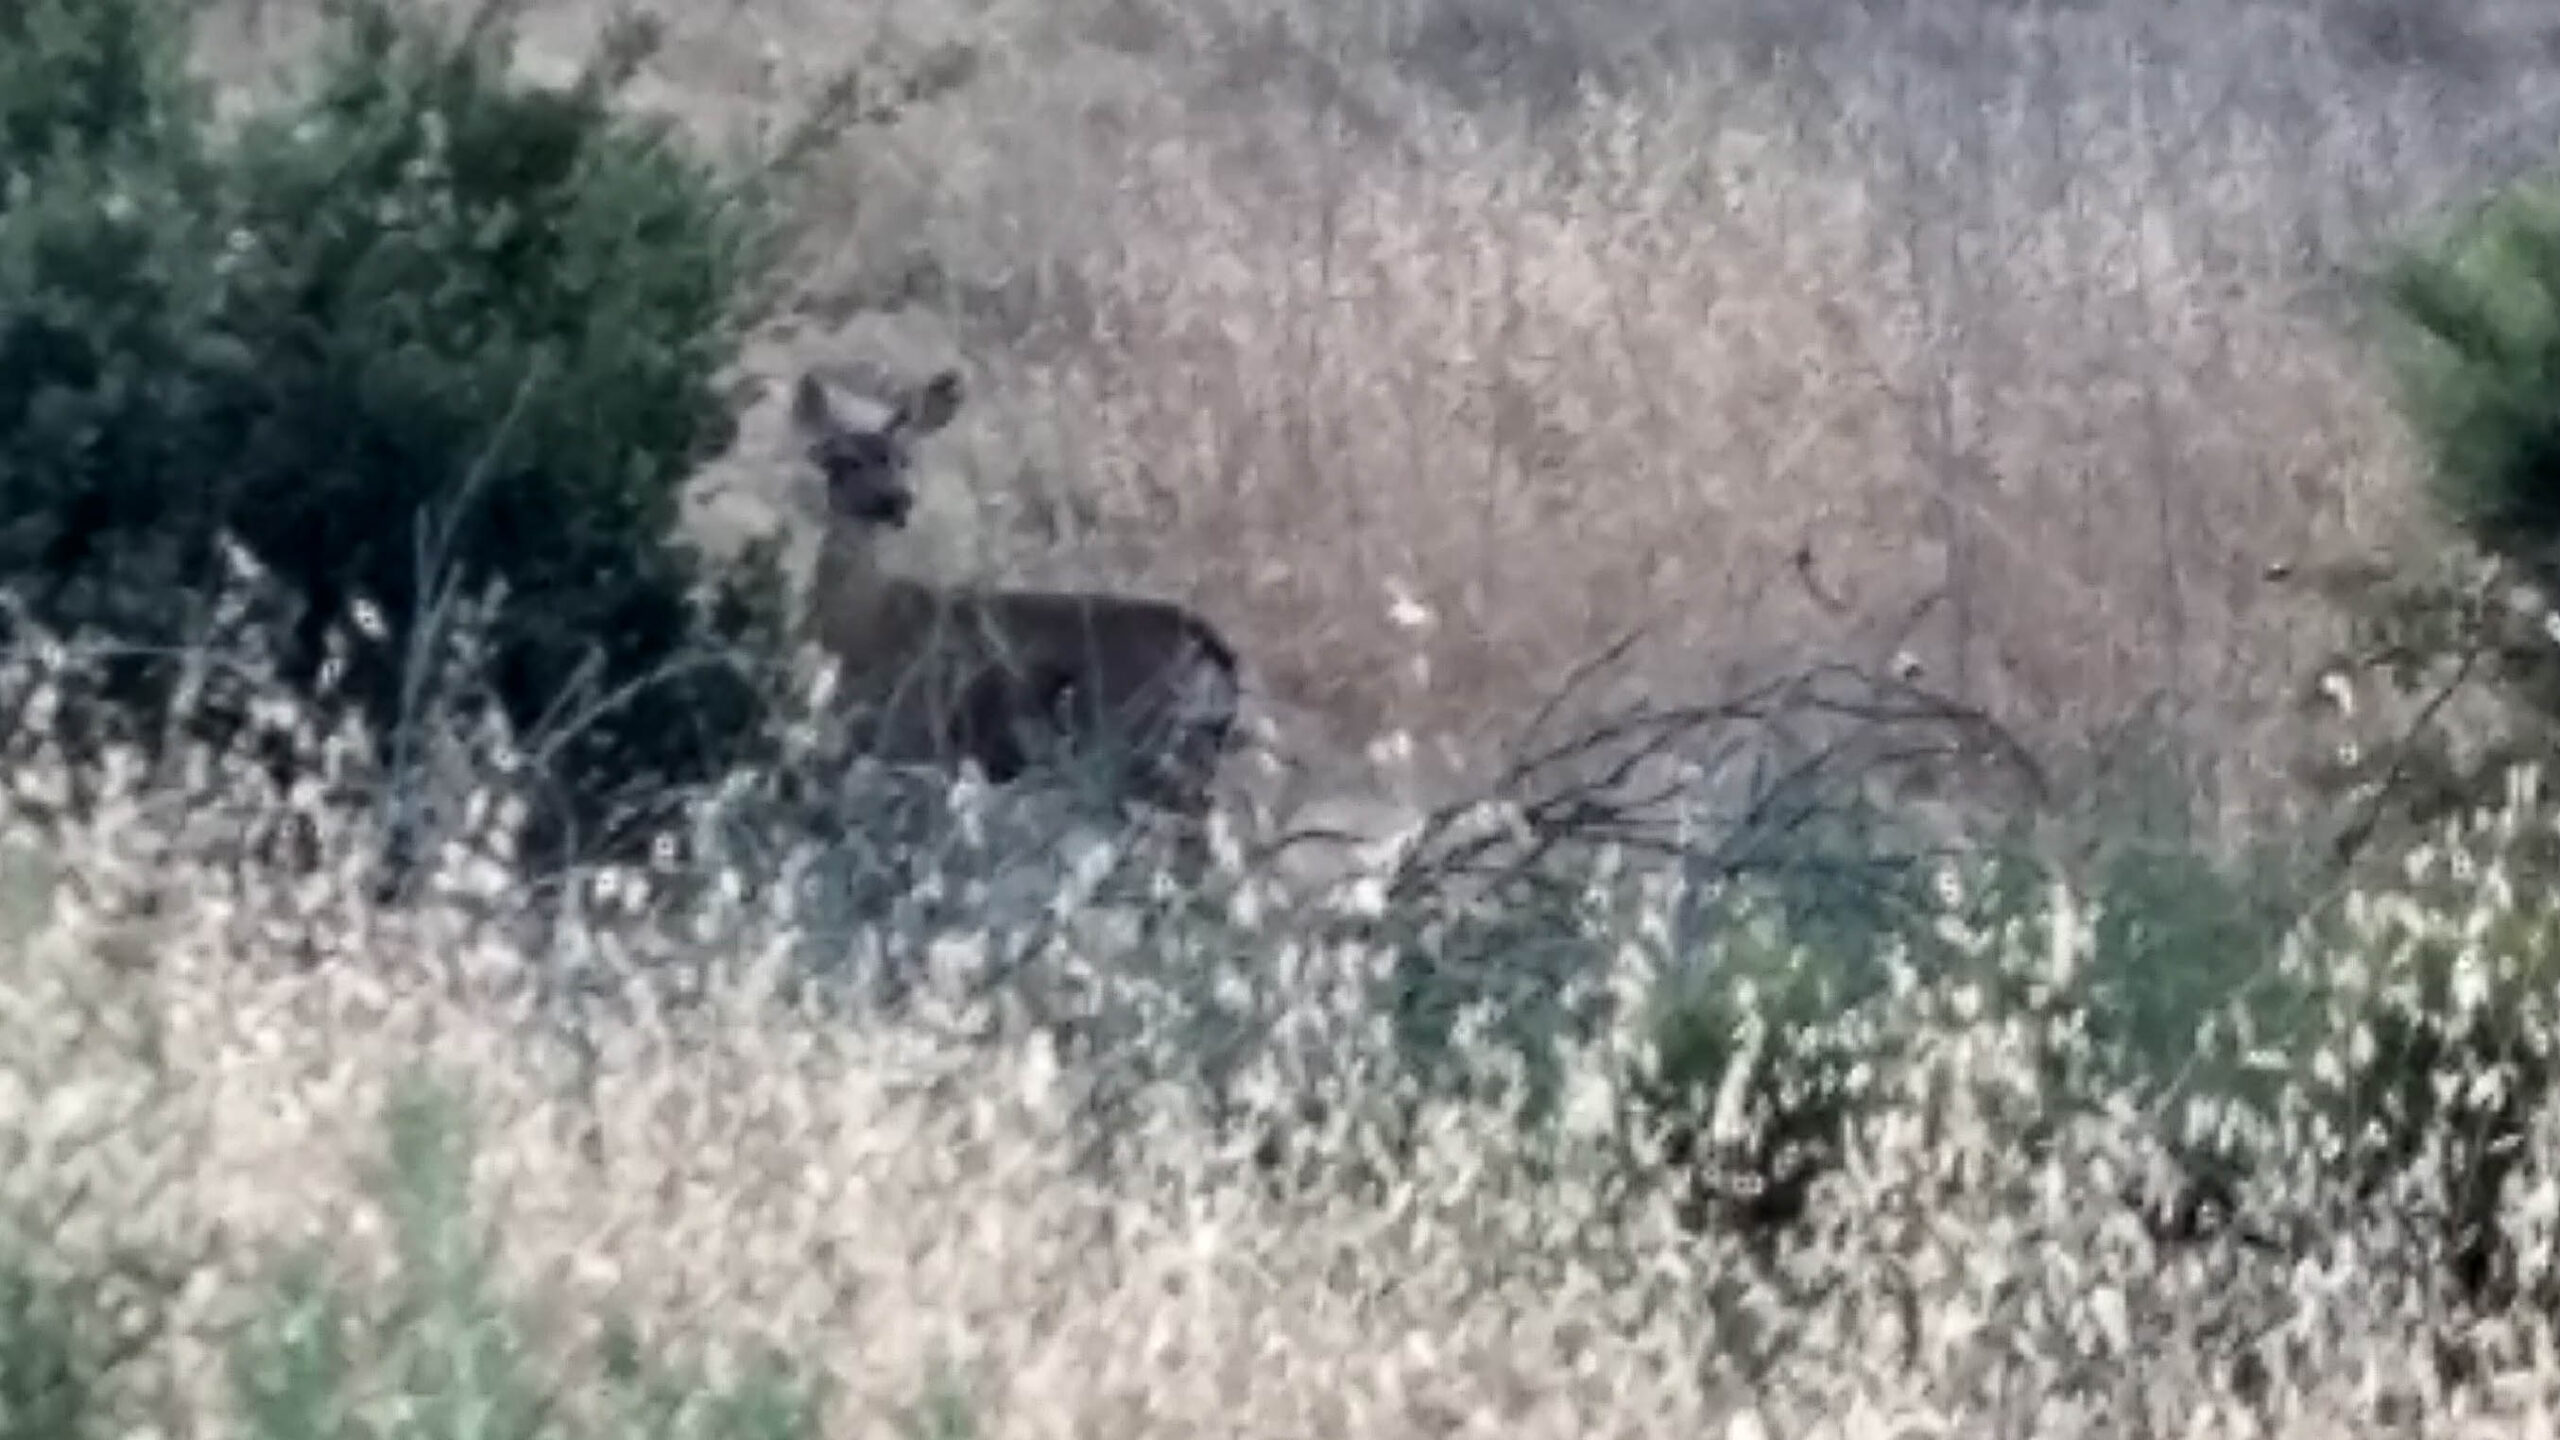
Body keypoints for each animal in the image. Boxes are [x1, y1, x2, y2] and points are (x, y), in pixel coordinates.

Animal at [788, 361, 1249, 819]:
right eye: (841, 462)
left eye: (904, 460)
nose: (897, 500)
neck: (864, 621)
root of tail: (1212, 649)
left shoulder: (906, 732)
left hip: (1133, 735)